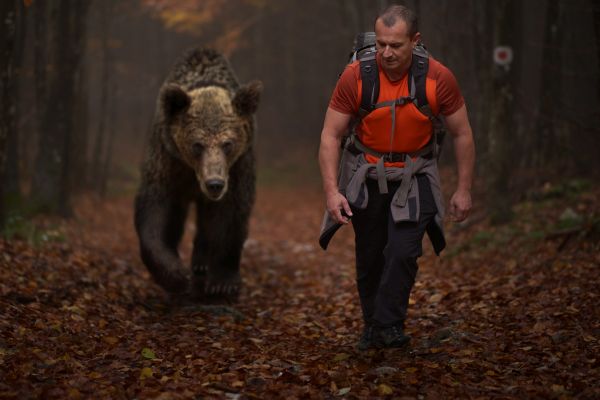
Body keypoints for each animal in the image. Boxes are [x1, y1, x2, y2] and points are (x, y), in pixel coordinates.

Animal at [135, 48, 262, 302]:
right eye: (197, 144)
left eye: (227, 143)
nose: (214, 184)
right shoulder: (168, 160)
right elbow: (157, 209)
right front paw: (175, 274)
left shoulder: (237, 167)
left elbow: (229, 214)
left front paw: (222, 283)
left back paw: (202, 263)